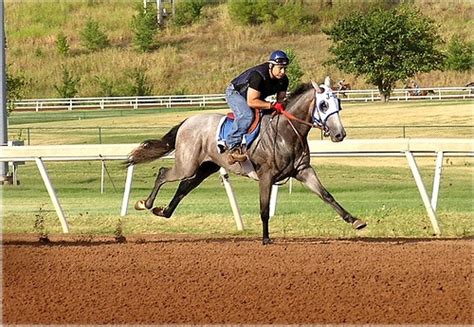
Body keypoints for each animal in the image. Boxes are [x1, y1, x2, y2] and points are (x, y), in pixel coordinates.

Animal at [127, 80, 366, 243]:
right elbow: (264, 208)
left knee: (184, 187)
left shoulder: (303, 170)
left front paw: (355, 220)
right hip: (187, 164)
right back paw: (145, 203)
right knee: (163, 173)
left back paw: (163, 211)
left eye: (338, 102)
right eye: (324, 105)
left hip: (205, 167)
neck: (286, 132)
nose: (340, 134)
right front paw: (266, 239)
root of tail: (188, 120)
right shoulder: (266, 175)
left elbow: (326, 195)